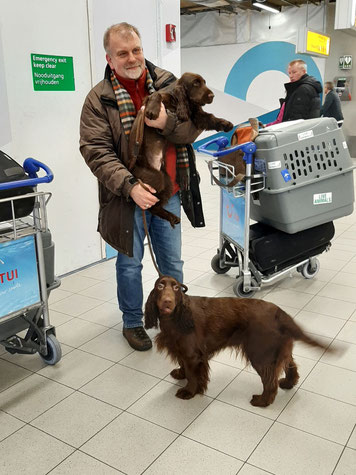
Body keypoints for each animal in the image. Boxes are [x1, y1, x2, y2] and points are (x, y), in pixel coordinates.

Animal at [128, 71, 234, 228]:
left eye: (204, 82)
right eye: (196, 83)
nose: (212, 95)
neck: (178, 102)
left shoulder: (195, 115)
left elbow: (210, 117)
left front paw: (226, 124)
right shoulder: (153, 100)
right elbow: (156, 95)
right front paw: (153, 110)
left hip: (167, 182)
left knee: (156, 206)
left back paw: (172, 218)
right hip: (156, 178)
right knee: (151, 205)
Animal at [145, 278, 330, 408]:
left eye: (176, 288)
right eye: (160, 286)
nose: (167, 302)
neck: (177, 317)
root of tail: (281, 313)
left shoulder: (193, 355)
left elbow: (192, 375)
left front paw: (188, 392)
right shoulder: (182, 350)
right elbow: (183, 365)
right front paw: (180, 374)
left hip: (260, 354)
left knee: (270, 382)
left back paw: (262, 401)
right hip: (277, 350)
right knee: (290, 365)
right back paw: (288, 383)